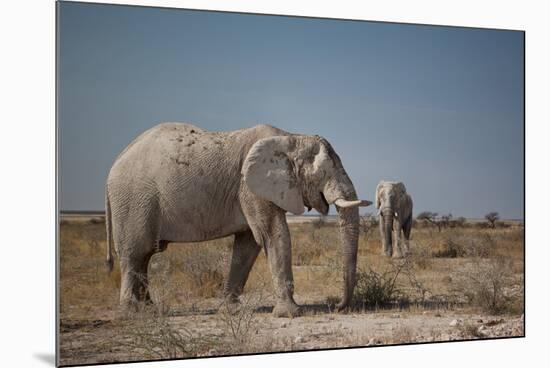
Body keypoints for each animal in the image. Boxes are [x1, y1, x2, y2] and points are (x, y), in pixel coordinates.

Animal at [104, 123, 374, 316]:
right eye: (324, 173)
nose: (338, 307)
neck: (290, 137)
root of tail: (115, 161)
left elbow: (248, 244)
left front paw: (232, 310)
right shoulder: (250, 187)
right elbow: (272, 235)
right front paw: (291, 313)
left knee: (145, 257)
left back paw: (150, 309)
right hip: (133, 200)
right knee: (134, 254)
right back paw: (133, 314)